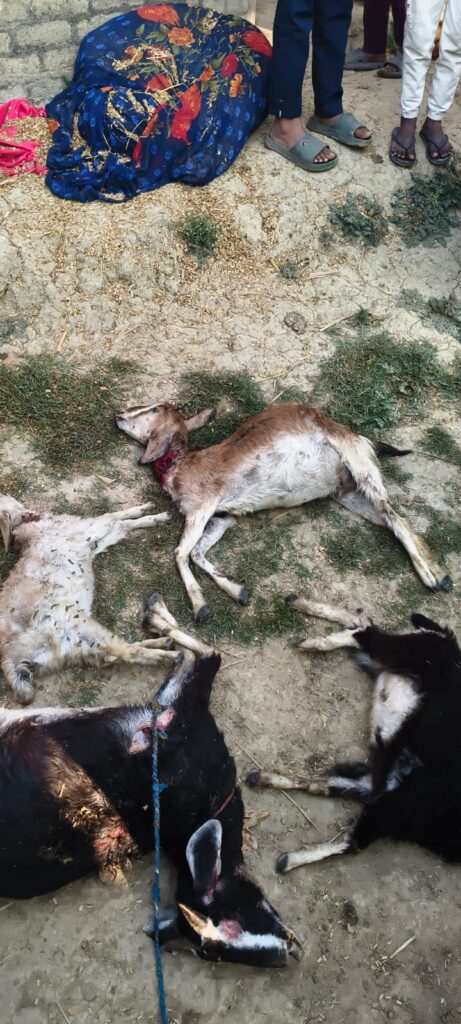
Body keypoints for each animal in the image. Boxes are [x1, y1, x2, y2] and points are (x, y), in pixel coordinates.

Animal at [0, 494, 178, 705]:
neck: (26, 523)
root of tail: (11, 653)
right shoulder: (92, 528)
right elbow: (116, 517)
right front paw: (155, 514)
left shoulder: (96, 539)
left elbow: (123, 523)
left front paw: (148, 512)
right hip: (79, 626)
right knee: (124, 652)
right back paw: (169, 655)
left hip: (77, 646)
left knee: (112, 655)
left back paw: (162, 643)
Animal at [0, 596, 301, 969]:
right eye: (238, 917)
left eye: (207, 954)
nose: (288, 952)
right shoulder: (182, 715)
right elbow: (206, 657)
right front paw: (160, 623)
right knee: (208, 654)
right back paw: (158, 620)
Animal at [116, 401, 451, 622]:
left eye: (153, 409)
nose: (119, 415)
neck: (180, 465)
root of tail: (359, 437)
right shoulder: (224, 517)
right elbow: (198, 553)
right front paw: (238, 591)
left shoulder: (202, 508)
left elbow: (181, 553)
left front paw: (200, 607)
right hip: (348, 493)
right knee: (392, 520)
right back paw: (438, 572)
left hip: (359, 465)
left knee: (394, 515)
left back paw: (432, 577)